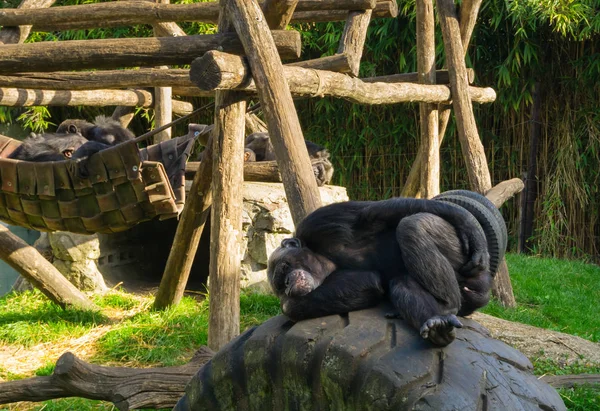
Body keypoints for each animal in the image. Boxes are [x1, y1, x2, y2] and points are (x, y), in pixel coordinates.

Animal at [268, 192, 506, 346]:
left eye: (284, 267)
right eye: (279, 286)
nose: (287, 283)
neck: (324, 259)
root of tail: (484, 287)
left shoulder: (321, 221)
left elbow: (379, 211)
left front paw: (469, 225)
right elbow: (368, 282)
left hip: (465, 262)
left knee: (412, 225)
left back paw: (448, 304)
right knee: (402, 284)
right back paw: (437, 324)